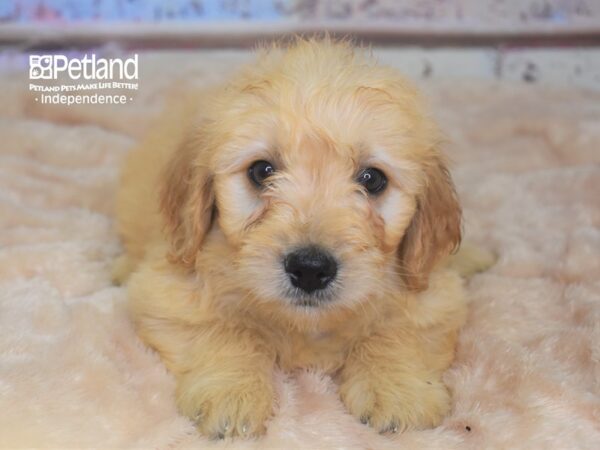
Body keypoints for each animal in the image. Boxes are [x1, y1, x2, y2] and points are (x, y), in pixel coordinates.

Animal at [115, 38, 490, 440]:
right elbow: (223, 328)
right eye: (261, 171)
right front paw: (232, 392)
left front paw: (397, 389)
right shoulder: (168, 289)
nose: (310, 269)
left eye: (372, 179)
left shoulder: (433, 298)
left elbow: (397, 330)